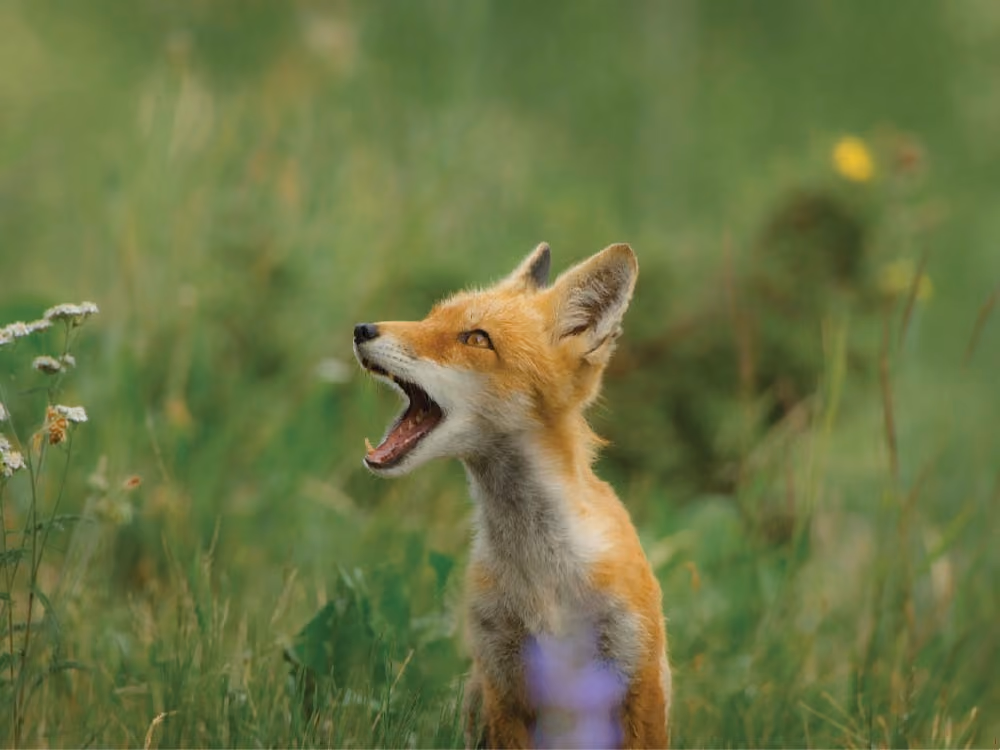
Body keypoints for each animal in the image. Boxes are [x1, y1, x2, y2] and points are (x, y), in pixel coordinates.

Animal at [353, 242, 671, 749]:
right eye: (431, 318)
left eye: (476, 339)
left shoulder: (636, 678)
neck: (543, 576)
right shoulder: (502, 686)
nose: (362, 329)